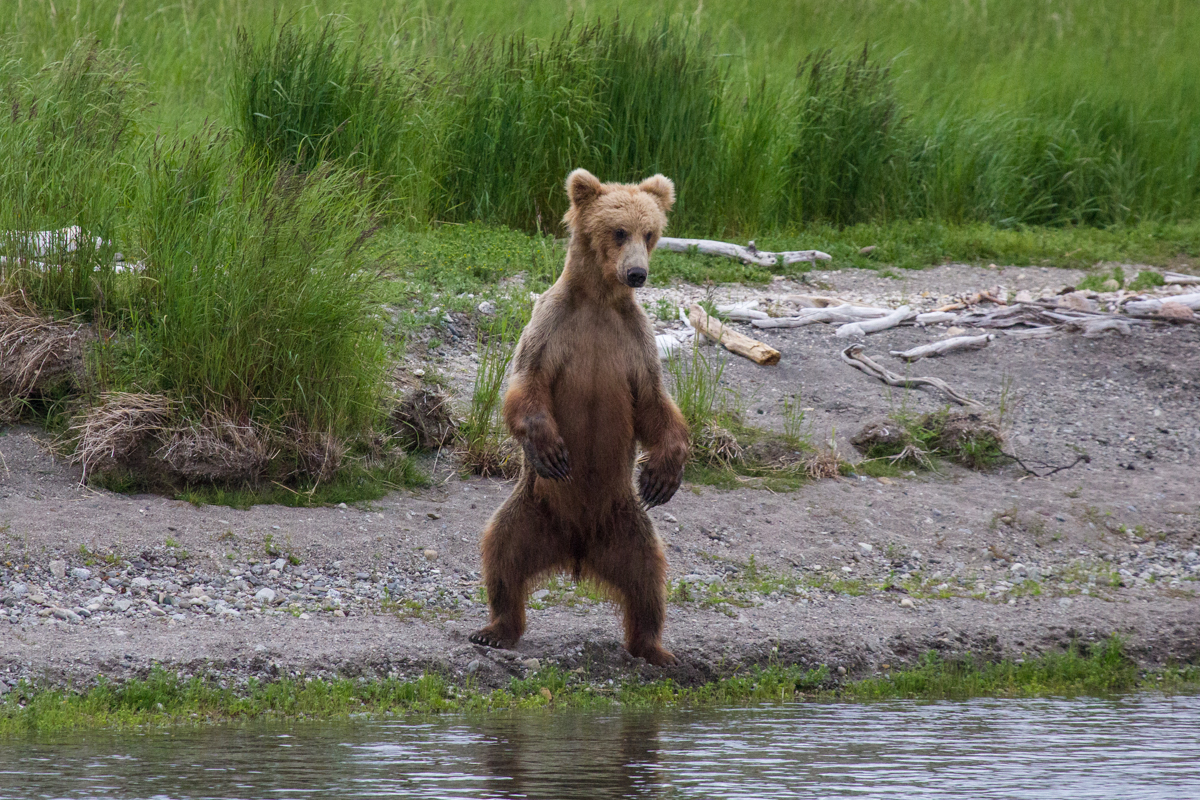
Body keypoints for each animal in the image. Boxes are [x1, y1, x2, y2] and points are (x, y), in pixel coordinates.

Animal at [470, 169, 696, 671]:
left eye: (650, 233)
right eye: (618, 231)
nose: (637, 273)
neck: (598, 303)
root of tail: (576, 548)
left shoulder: (633, 343)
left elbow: (655, 405)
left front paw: (662, 475)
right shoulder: (552, 329)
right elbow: (525, 387)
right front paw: (550, 449)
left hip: (626, 520)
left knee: (649, 577)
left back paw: (656, 648)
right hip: (532, 507)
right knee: (501, 554)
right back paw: (494, 630)